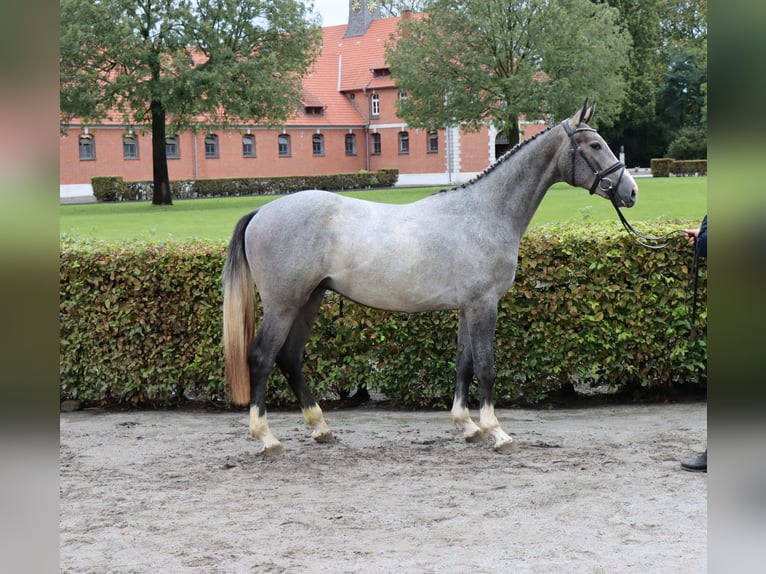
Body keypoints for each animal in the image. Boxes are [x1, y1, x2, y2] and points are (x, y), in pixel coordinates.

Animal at [224, 101, 640, 456]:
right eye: (594, 144)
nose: (631, 190)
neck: (483, 213)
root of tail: (261, 212)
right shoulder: (483, 305)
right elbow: (486, 367)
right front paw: (497, 432)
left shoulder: (467, 308)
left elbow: (464, 363)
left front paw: (467, 426)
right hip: (284, 303)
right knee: (262, 357)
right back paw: (266, 437)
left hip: (310, 299)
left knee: (290, 357)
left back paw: (320, 428)